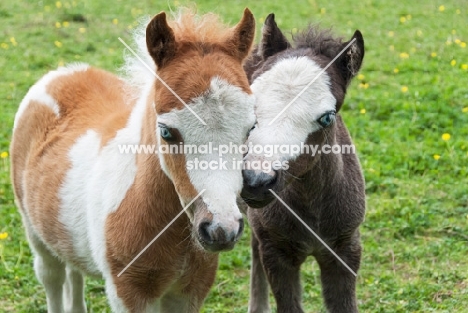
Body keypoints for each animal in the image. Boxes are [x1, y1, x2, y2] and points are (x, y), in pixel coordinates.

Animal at [9, 8, 256, 310]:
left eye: (250, 128)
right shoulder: (128, 290)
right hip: (33, 230)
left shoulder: (192, 288)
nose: (221, 230)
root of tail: (62, 72)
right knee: (51, 275)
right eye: (166, 132)